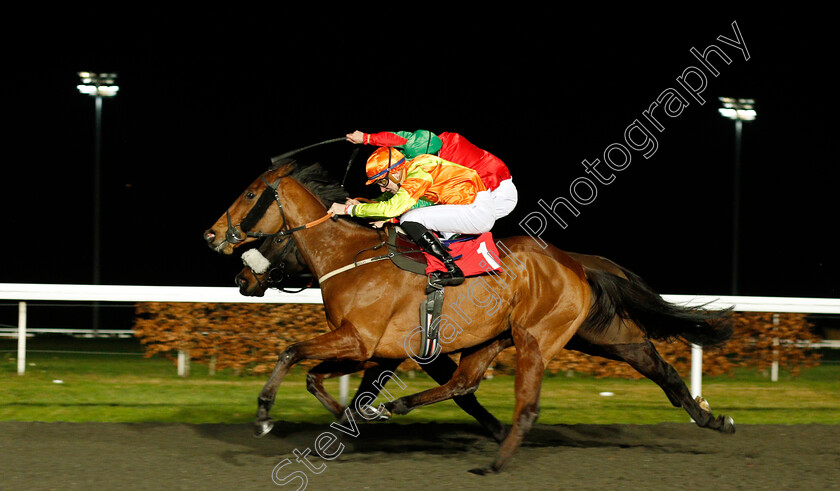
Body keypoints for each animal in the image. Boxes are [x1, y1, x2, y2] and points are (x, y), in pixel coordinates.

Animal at [207, 160, 732, 472]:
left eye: (250, 196)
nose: (215, 239)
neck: (351, 258)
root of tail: (574, 262)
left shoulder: (360, 341)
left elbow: (293, 352)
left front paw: (264, 416)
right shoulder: (376, 350)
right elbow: (322, 379)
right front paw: (353, 420)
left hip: (536, 338)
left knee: (526, 404)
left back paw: (497, 461)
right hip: (587, 334)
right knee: (654, 364)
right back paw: (713, 419)